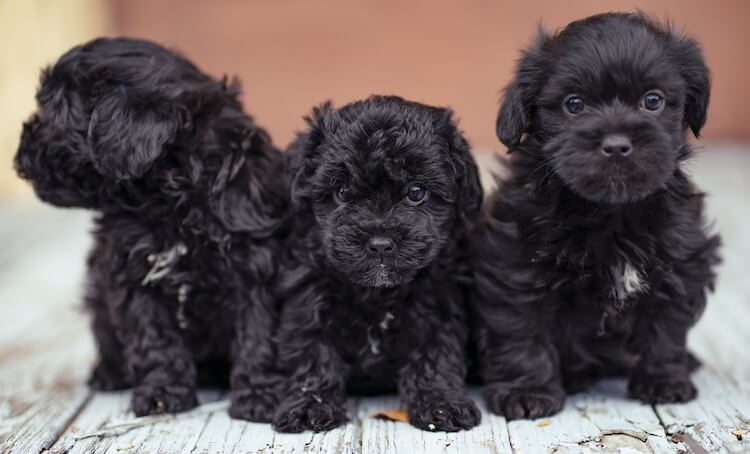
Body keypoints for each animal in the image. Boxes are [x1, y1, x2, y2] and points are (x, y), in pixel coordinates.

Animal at [15, 37, 290, 420]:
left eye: (53, 116)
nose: (19, 155)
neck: (170, 202)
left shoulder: (255, 267)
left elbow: (258, 332)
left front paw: (260, 394)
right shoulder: (132, 276)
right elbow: (154, 339)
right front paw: (163, 393)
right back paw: (108, 374)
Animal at [268, 96, 482, 432]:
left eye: (416, 192)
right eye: (342, 192)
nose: (380, 243)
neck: (377, 292)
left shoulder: (438, 300)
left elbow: (435, 354)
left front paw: (442, 403)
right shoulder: (308, 294)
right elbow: (312, 351)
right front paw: (309, 405)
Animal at [472, 13, 724, 418]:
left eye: (653, 100)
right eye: (574, 104)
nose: (617, 145)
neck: (610, 212)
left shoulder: (681, 261)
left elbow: (666, 325)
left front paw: (663, 381)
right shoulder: (514, 266)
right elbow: (522, 330)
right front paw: (527, 392)